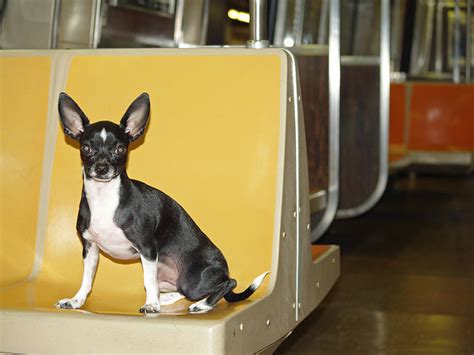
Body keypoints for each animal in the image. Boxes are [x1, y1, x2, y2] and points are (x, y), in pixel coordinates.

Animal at [55, 92, 266, 314]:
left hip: (193, 280)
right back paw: (165, 298)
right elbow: (87, 280)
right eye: (86, 148)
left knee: (228, 283)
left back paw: (202, 304)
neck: (105, 198)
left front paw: (151, 304)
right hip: (168, 277)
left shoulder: (147, 249)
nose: (102, 168)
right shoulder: (90, 249)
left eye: (120, 149)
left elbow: (148, 281)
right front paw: (76, 300)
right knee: (180, 288)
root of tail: (222, 269)